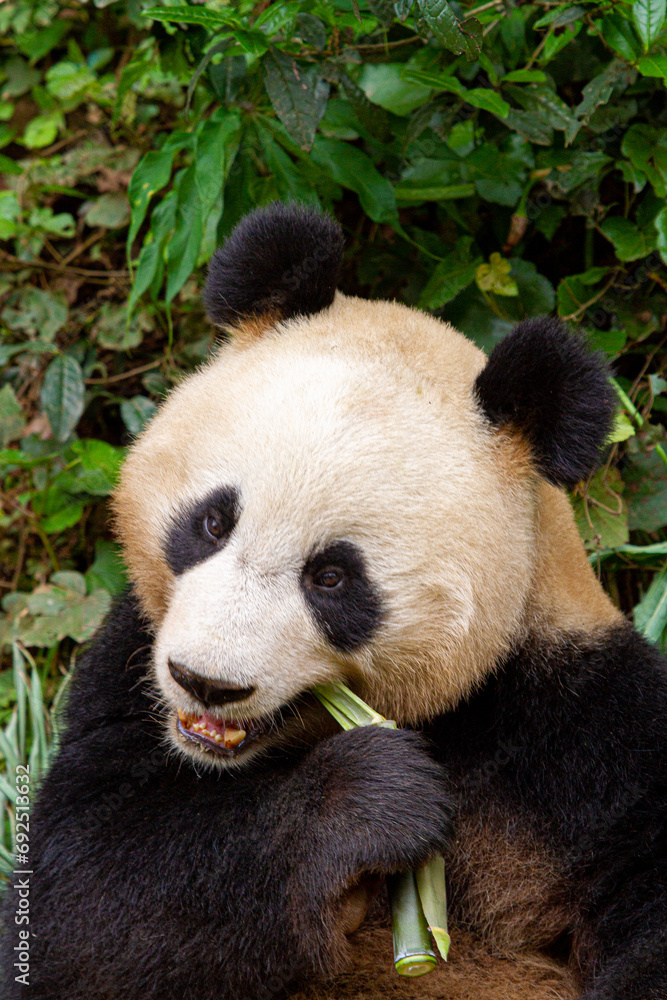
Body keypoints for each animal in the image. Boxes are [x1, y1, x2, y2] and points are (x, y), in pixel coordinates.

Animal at [1, 202, 665, 1000]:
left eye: (331, 577)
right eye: (213, 522)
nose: (206, 684)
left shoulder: (579, 732)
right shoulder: (131, 659)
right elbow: (81, 894)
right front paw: (372, 801)